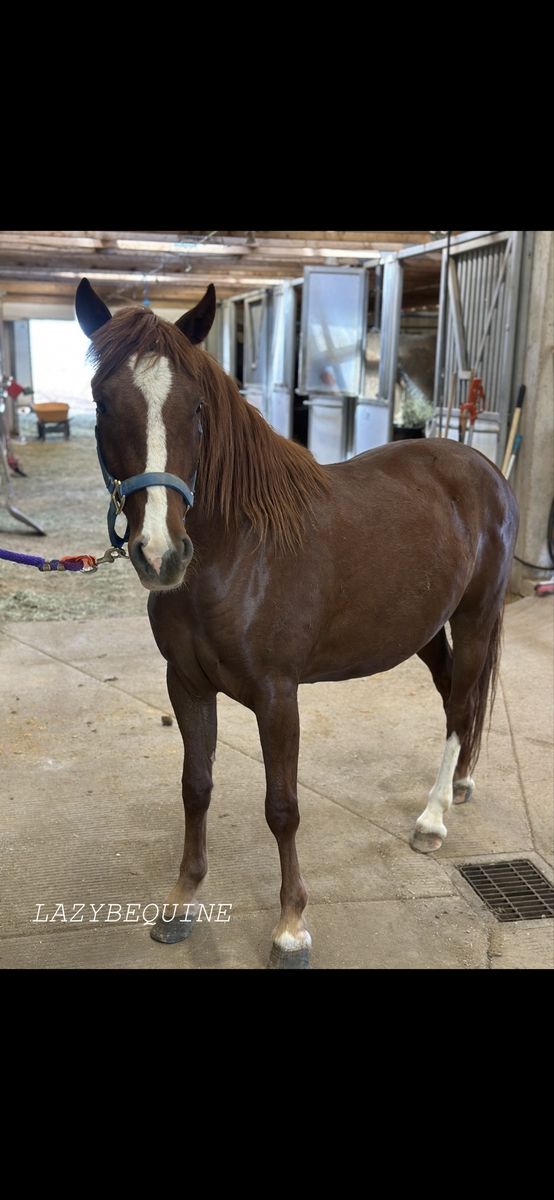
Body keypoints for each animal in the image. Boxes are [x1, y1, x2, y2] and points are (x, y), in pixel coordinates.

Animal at [76, 278, 519, 969]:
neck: (240, 554)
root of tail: (483, 468)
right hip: (426, 633)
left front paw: (290, 928)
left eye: (197, 409)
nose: (160, 554)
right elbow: (195, 786)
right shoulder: (187, 685)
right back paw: (463, 784)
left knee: (460, 705)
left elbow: (281, 807)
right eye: (101, 402)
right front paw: (181, 902)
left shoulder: (277, 697)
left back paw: (433, 818)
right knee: (459, 699)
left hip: (474, 619)